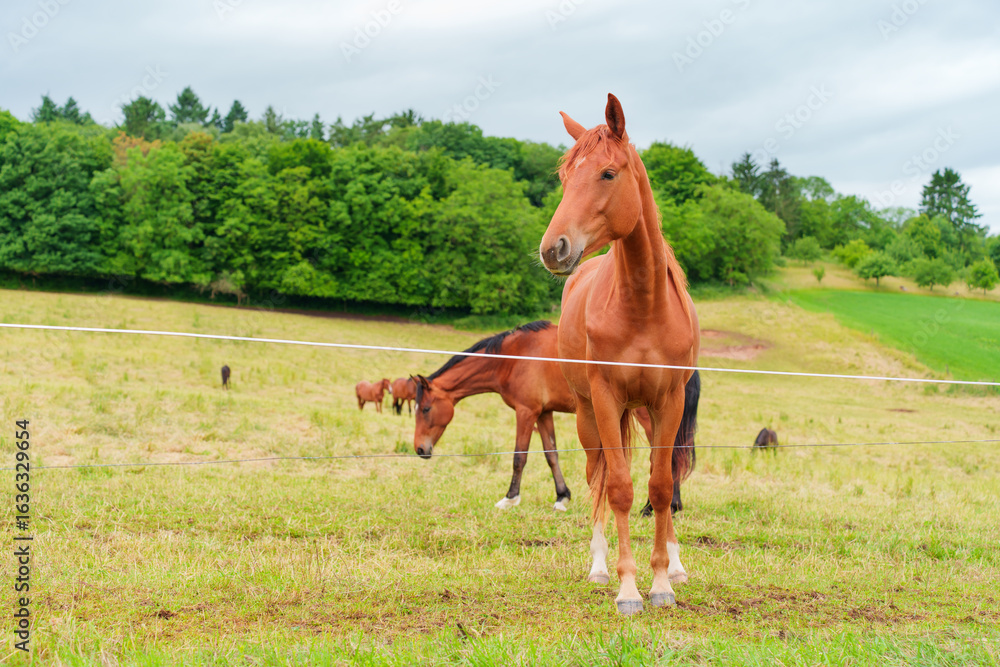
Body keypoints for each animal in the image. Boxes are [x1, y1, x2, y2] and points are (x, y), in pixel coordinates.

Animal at [412, 321, 700, 514]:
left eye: (425, 408)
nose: (420, 449)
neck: (513, 356)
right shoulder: (544, 413)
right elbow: (551, 454)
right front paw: (562, 497)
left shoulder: (526, 412)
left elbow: (519, 457)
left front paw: (510, 498)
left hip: (650, 414)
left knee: (666, 455)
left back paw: (658, 506)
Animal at [538, 94, 700, 614]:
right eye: (565, 177)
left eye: (608, 173)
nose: (554, 249)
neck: (643, 306)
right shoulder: (607, 401)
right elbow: (620, 489)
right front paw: (629, 589)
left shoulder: (668, 403)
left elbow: (661, 486)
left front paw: (663, 582)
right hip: (589, 415)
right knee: (597, 478)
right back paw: (599, 567)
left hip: (646, 415)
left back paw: (676, 563)